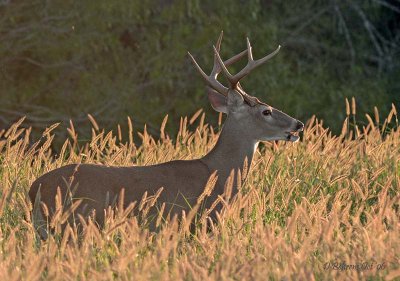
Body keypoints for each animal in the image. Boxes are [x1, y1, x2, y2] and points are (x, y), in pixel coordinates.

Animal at [28, 31, 304, 236]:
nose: (298, 125)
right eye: (266, 111)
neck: (217, 174)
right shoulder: (197, 221)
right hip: (74, 224)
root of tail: (34, 189)